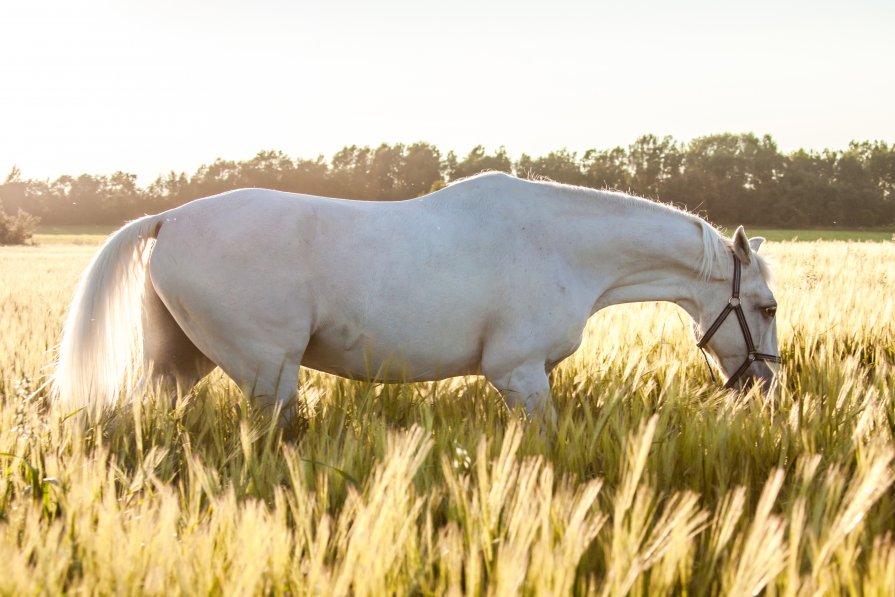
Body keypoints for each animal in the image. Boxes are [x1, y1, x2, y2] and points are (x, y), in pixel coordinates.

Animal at [50, 171, 776, 424]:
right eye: (766, 308)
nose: (764, 384)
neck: (561, 244)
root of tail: (168, 219)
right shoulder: (518, 374)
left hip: (180, 363)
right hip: (266, 373)